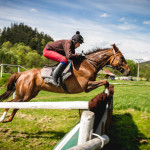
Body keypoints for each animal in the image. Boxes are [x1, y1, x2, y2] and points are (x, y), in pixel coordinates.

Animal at [0, 43, 130, 123]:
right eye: (122, 58)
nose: (128, 71)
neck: (89, 64)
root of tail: (22, 73)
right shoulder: (86, 86)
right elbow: (105, 81)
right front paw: (107, 92)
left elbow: (105, 81)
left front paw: (107, 92)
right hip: (23, 95)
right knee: (9, 103)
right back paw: (3, 118)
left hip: (29, 96)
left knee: (16, 106)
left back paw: (8, 119)